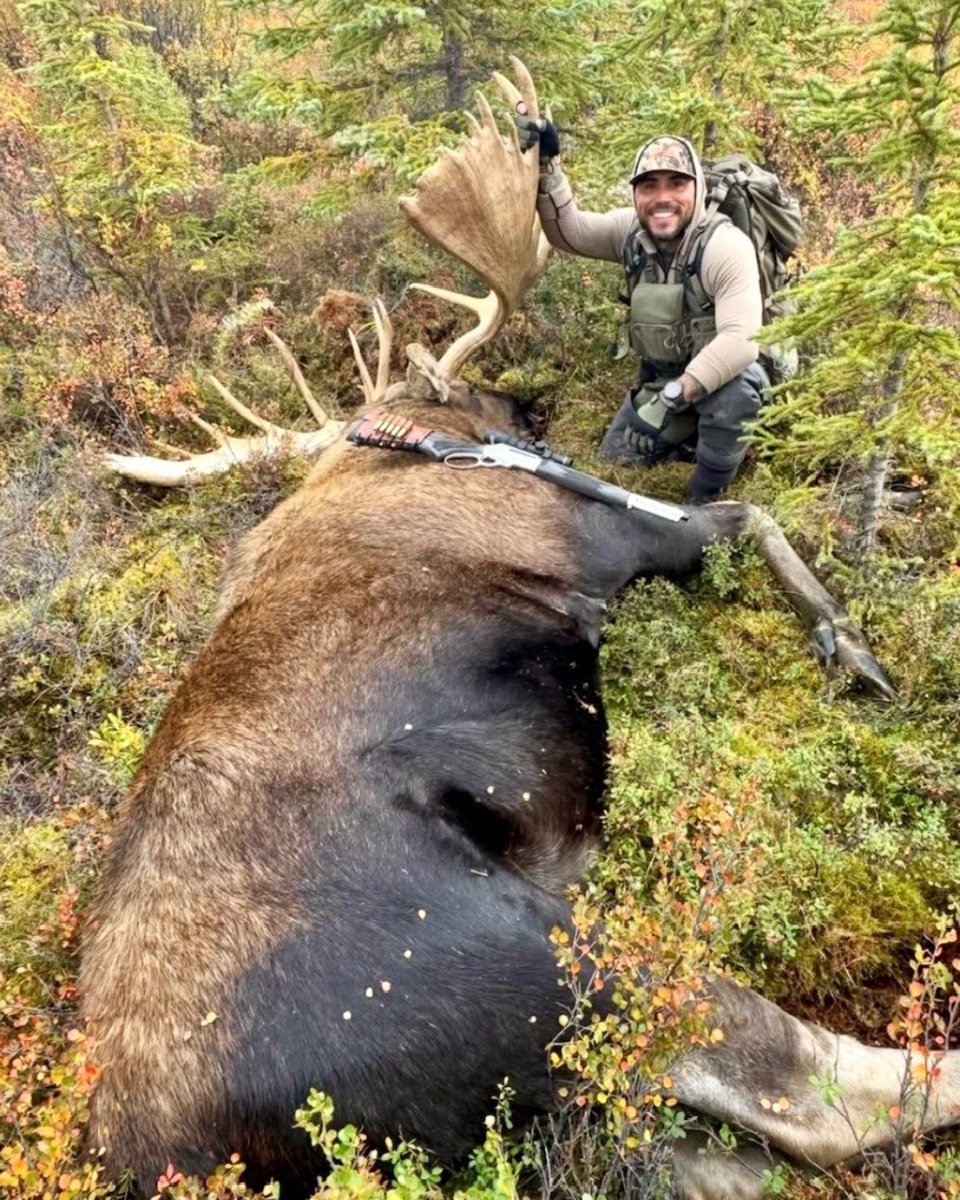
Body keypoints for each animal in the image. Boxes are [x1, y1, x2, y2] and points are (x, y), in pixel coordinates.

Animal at [82, 60, 958, 1200]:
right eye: (492, 401)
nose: (531, 404)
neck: (405, 438)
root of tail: (180, 1155)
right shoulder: (596, 537)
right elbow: (750, 517)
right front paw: (848, 640)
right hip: (556, 957)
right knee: (821, 1094)